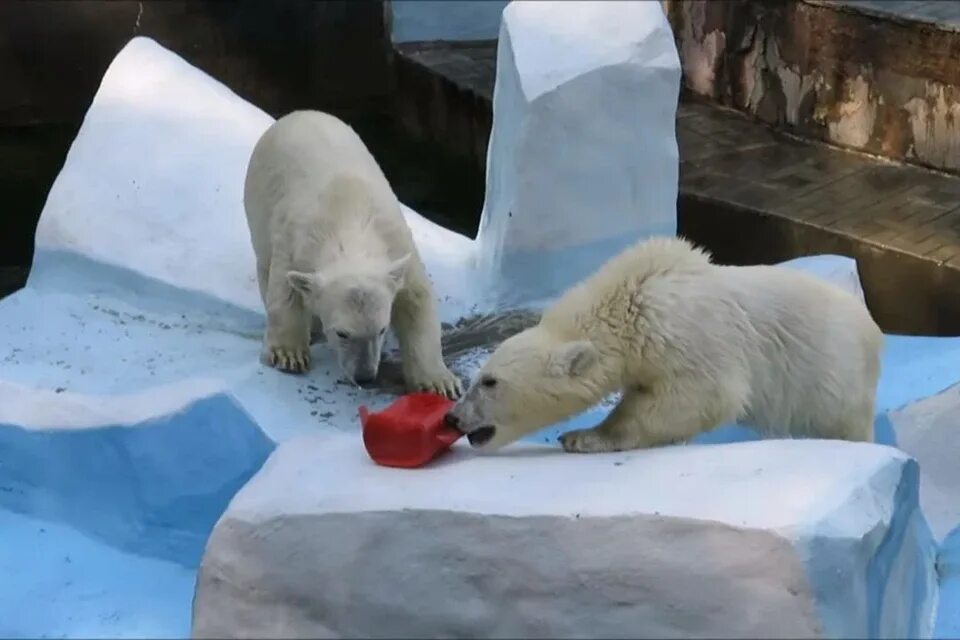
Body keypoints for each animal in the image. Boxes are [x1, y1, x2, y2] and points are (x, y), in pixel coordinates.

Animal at [244, 112, 462, 398]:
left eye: (381, 329)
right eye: (342, 334)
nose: (365, 377)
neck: (348, 220)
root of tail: (299, 113)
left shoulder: (396, 241)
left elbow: (416, 299)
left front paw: (439, 382)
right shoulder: (296, 241)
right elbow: (285, 290)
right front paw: (289, 355)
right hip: (258, 199)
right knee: (264, 263)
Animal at [446, 235, 880, 450]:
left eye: (489, 381)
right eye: (479, 377)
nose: (452, 417)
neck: (627, 301)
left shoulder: (685, 336)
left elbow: (705, 396)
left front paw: (584, 437)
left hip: (834, 381)